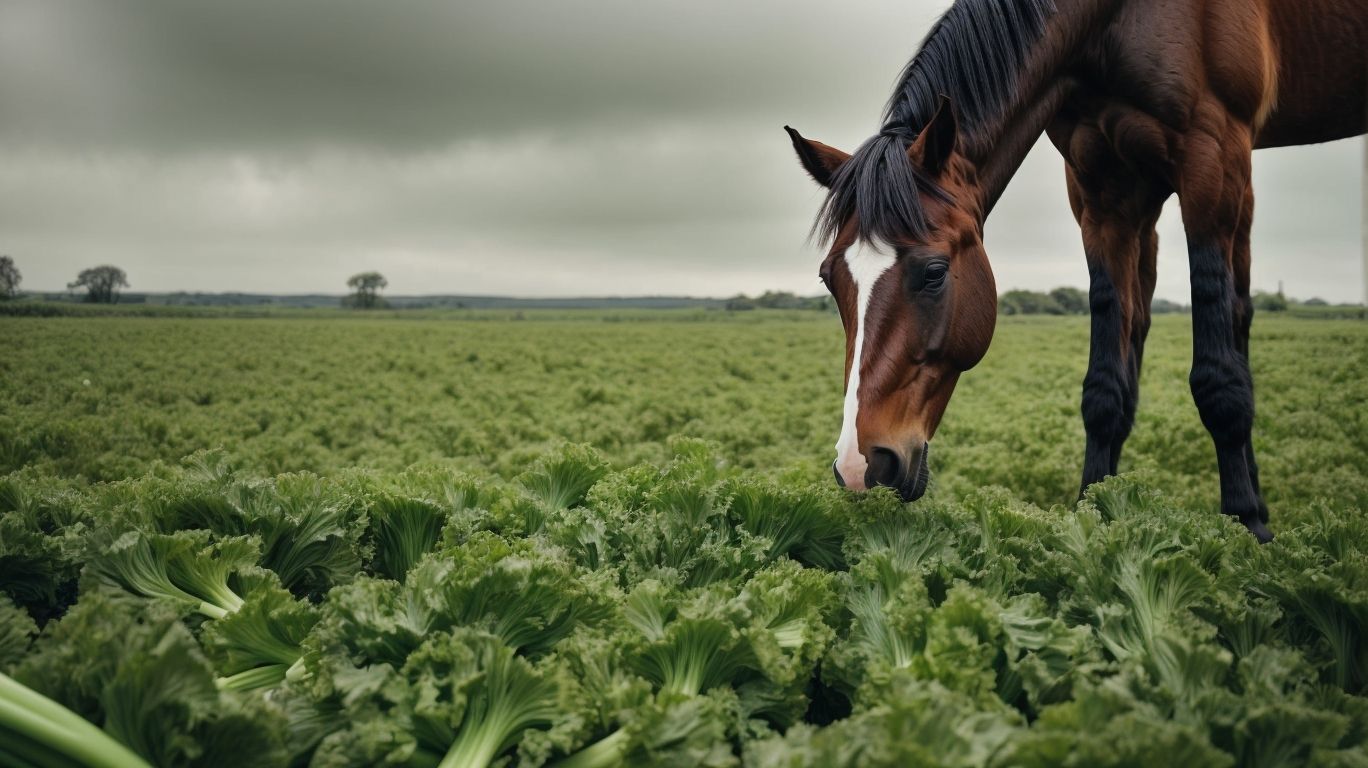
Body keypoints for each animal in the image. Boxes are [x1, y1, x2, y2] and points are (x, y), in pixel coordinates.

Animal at [786, 0, 1368, 542]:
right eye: (830, 280)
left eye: (933, 273)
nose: (859, 465)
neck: (1112, 24)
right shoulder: (1101, 189)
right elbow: (1106, 388)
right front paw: (1095, 519)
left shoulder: (1213, 155)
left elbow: (1218, 378)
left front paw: (1245, 527)